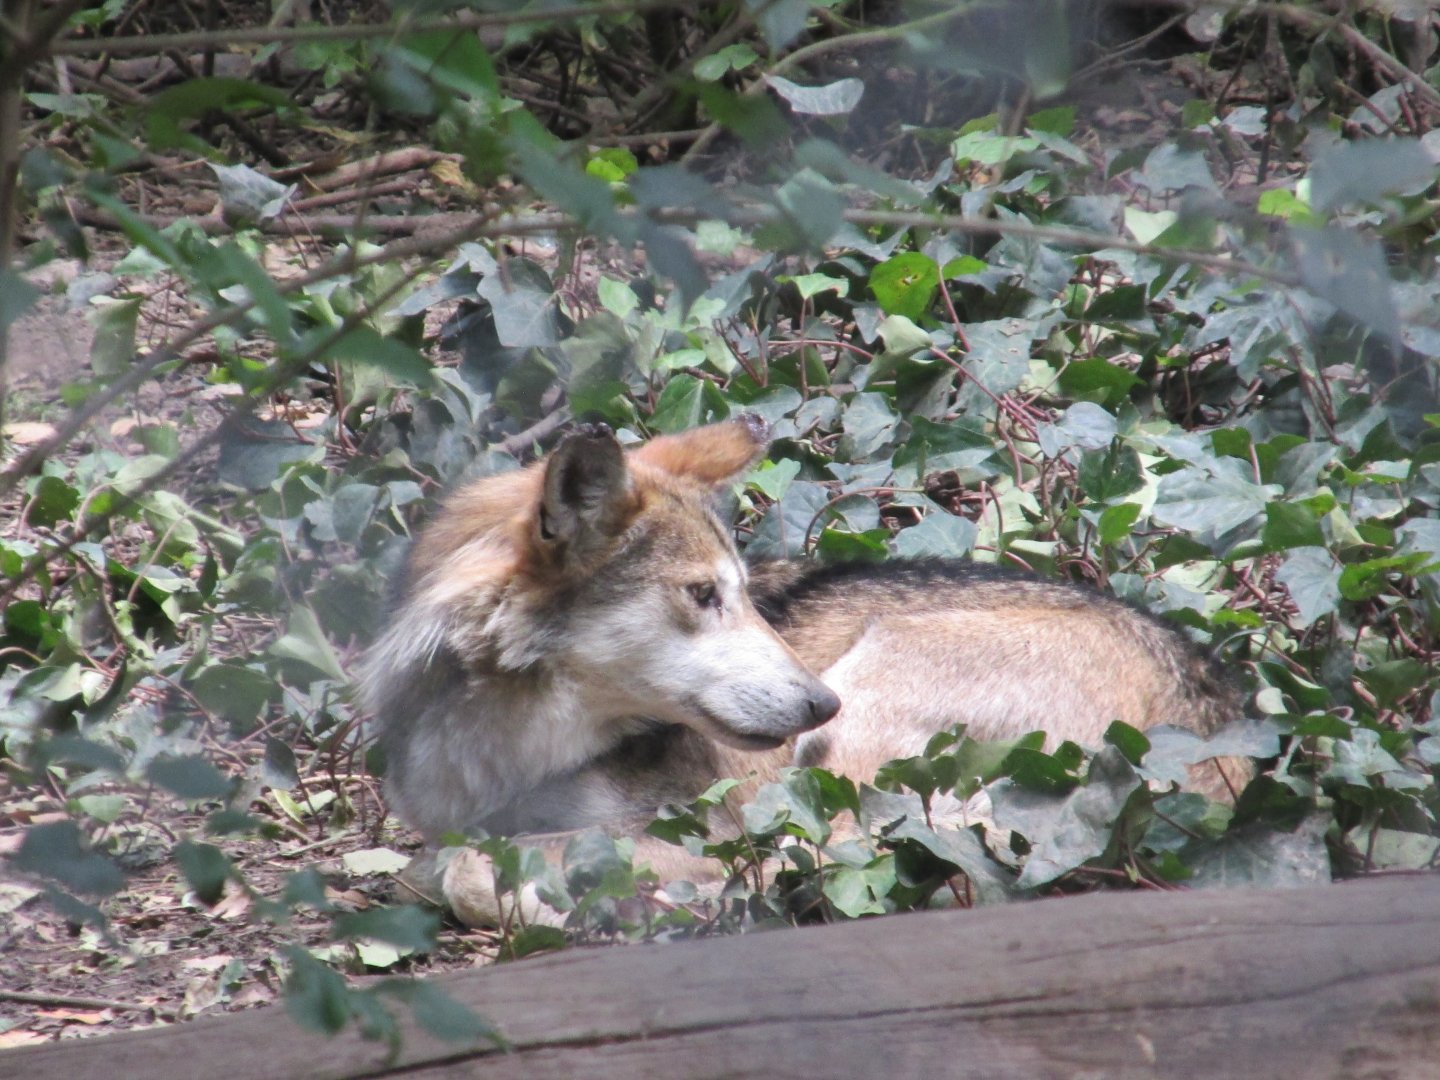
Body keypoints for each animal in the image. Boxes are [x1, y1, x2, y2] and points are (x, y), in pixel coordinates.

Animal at [362, 417, 1240, 916]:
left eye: (745, 593)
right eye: (703, 595)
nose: (820, 705)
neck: (504, 745)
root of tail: (1217, 735)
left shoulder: (698, 822)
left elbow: (455, 869)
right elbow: (430, 866)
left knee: (823, 862)